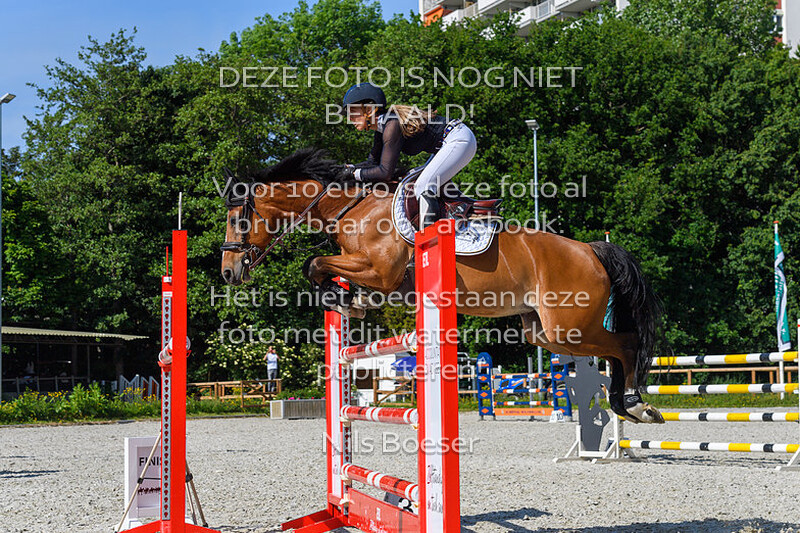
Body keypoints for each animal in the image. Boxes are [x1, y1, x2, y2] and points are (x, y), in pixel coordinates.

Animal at [220, 148, 666, 424]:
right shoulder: (374, 275)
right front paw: (350, 300)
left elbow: (313, 264)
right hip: (545, 332)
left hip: (569, 325)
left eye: (238, 220)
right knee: (612, 351)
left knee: (625, 345)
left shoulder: (381, 272)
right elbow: (321, 269)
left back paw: (635, 405)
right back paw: (625, 404)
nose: (228, 272)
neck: (352, 208)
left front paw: (342, 297)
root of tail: (591, 250)